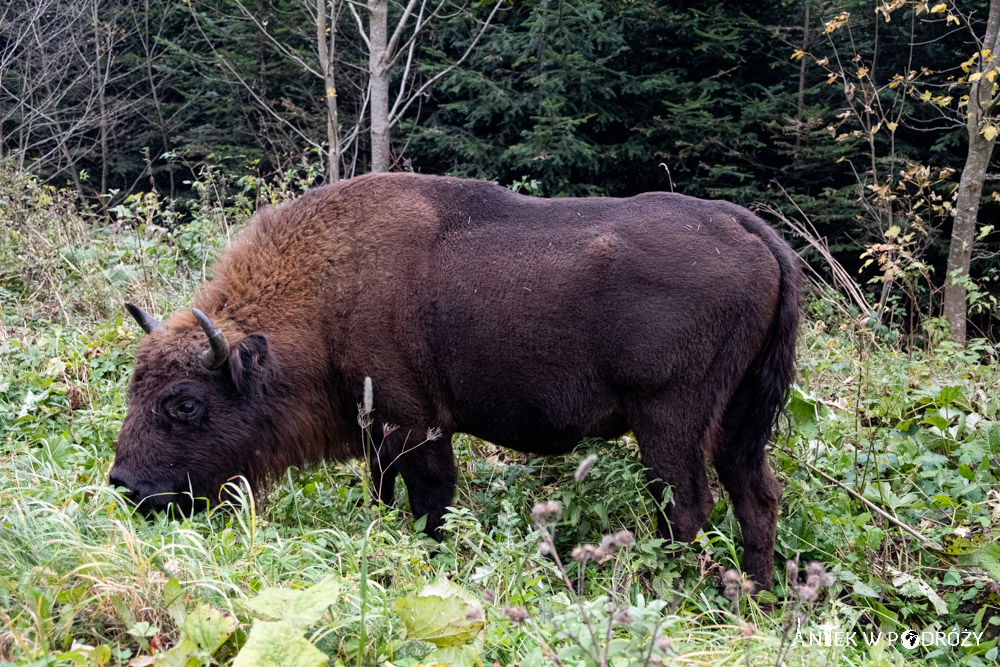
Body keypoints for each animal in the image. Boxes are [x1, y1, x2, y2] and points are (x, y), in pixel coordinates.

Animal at [107, 171, 796, 588]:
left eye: (185, 404)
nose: (126, 486)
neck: (328, 292)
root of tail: (749, 229)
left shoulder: (415, 424)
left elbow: (431, 501)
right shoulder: (379, 433)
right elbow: (387, 492)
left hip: (668, 419)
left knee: (685, 504)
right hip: (739, 418)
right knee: (756, 494)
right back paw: (752, 598)